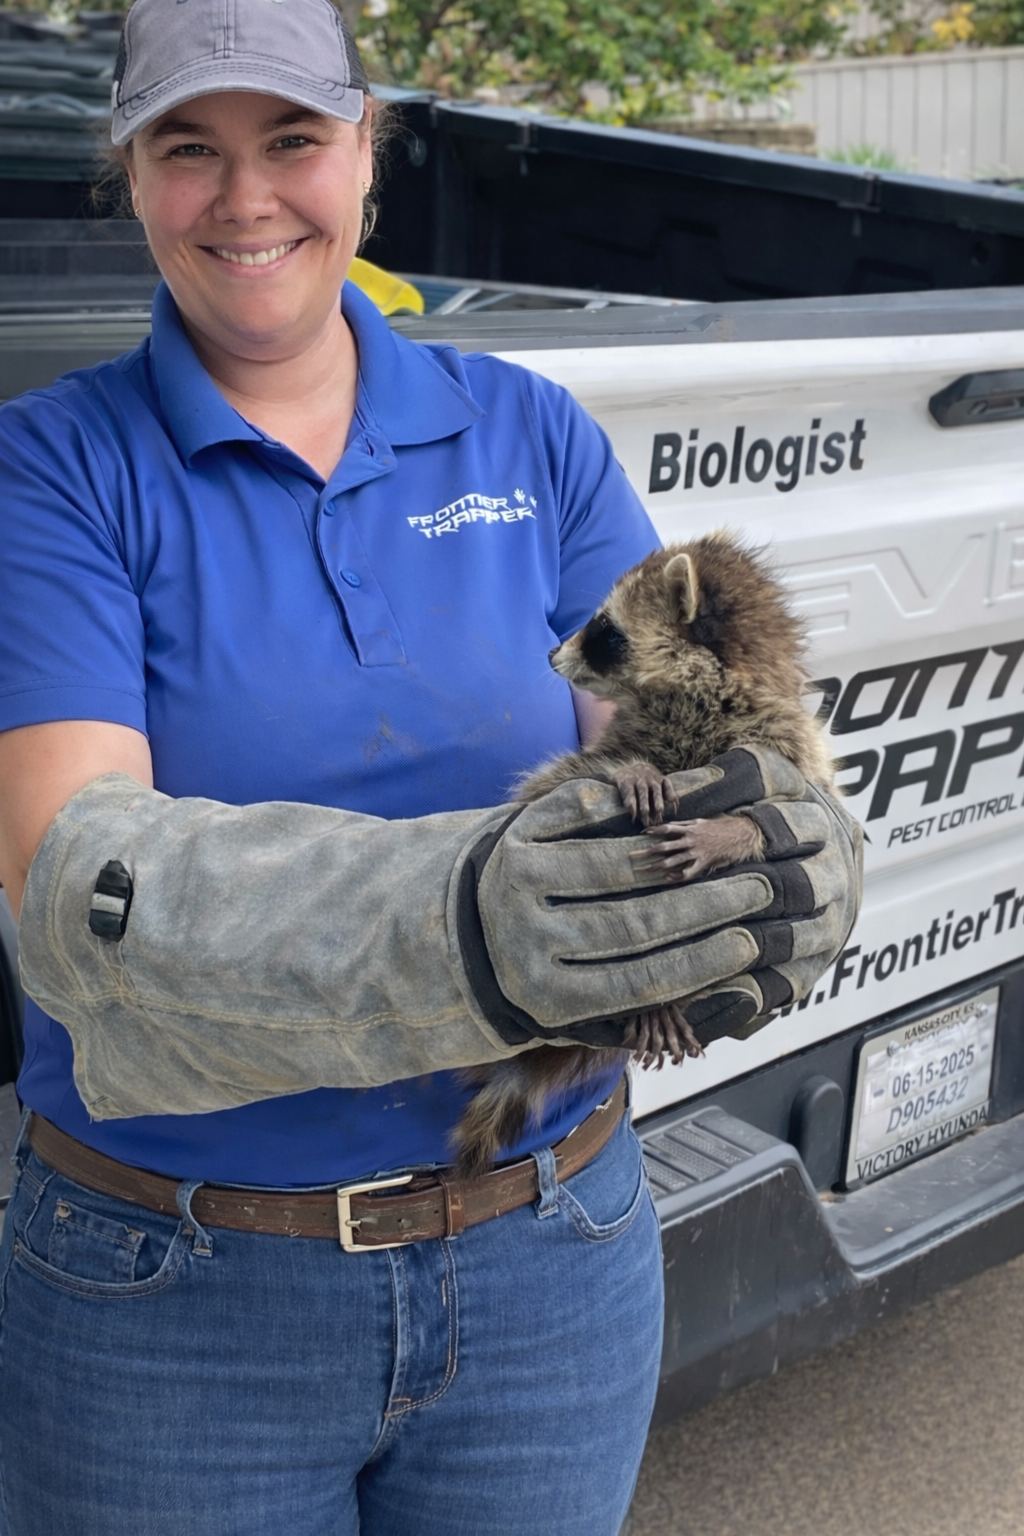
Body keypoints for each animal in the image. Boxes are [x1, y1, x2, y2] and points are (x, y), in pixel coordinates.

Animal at [451, 533, 835, 1176]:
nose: (551, 653)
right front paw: (634, 772)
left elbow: (805, 805)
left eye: (605, 628)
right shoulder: (617, 740)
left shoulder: (785, 743)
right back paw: (648, 1008)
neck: (701, 692)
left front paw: (735, 831)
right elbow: (572, 773)